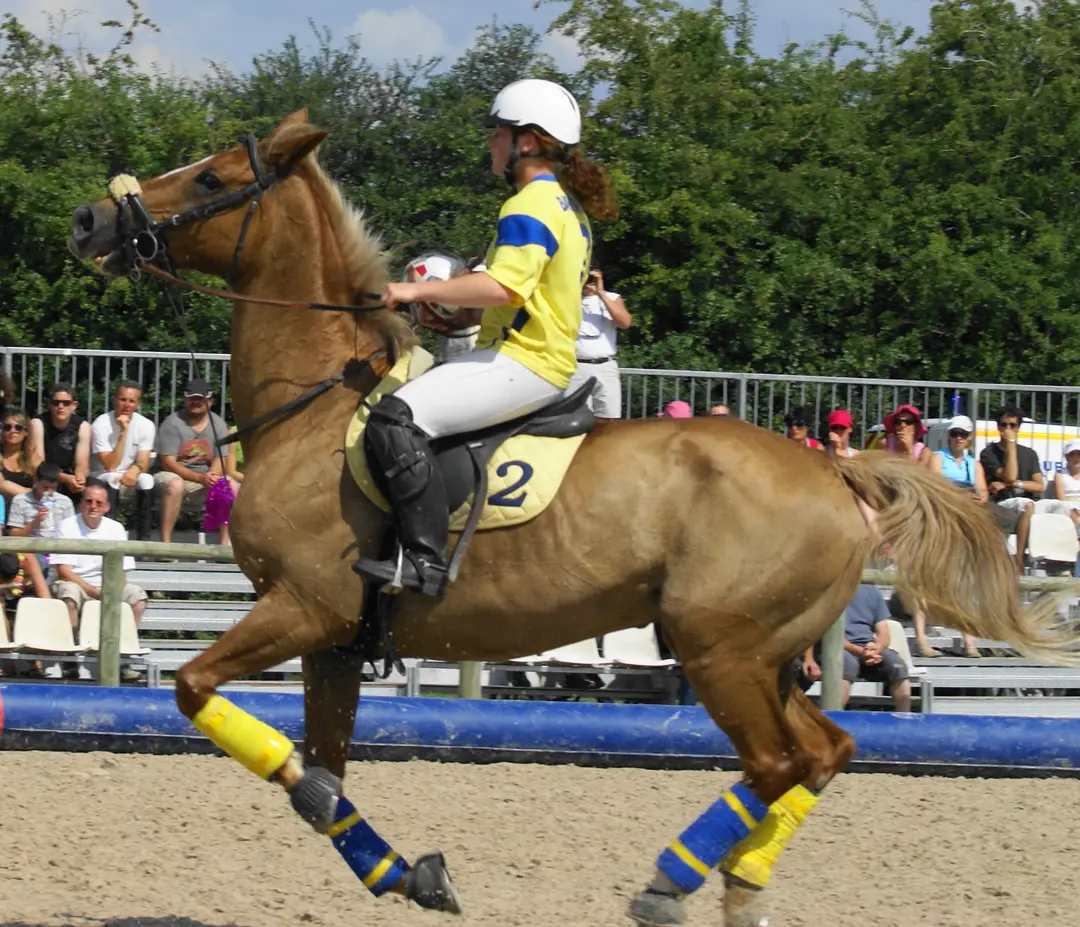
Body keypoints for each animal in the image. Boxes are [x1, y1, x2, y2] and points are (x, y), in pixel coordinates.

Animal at [67, 110, 1079, 926]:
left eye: (211, 179)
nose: (90, 220)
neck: (313, 409)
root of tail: (835, 469)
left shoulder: (304, 609)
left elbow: (198, 691)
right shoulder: (337, 641)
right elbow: (322, 778)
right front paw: (410, 874)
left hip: (717, 647)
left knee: (778, 763)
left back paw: (670, 882)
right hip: (760, 649)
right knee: (824, 749)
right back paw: (740, 888)